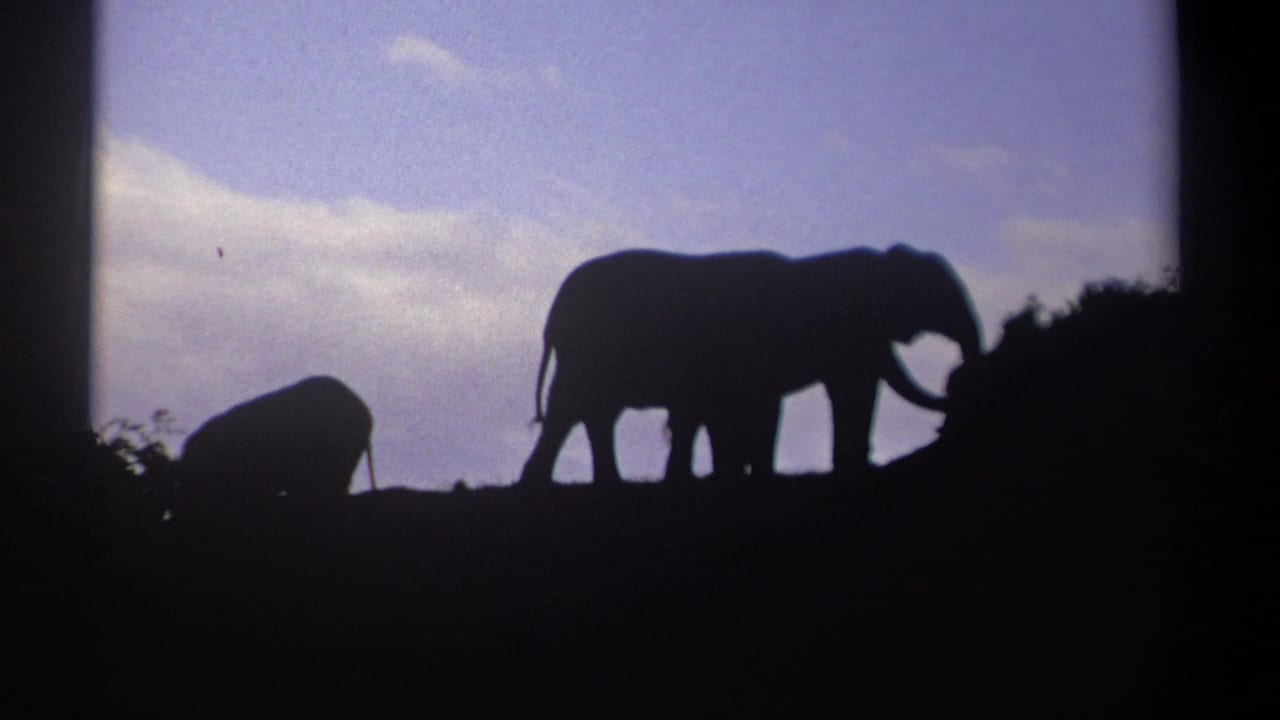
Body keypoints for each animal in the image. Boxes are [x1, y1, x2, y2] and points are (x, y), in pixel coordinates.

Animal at [517, 244, 982, 486]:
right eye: (935, 293)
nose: (954, 379)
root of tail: (554, 311)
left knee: (585, 412)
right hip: (588, 351)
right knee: (576, 409)